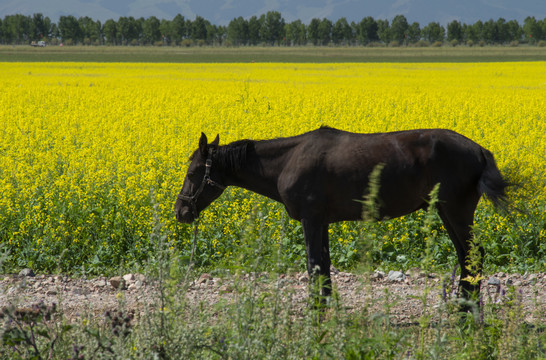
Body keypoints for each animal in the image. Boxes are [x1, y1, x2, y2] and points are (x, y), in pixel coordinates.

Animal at [174, 126, 506, 306]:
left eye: (192, 173)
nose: (181, 211)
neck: (288, 160)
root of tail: (479, 150)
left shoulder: (310, 220)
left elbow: (313, 264)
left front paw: (316, 308)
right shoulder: (321, 222)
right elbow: (324, 265)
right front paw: (325, 304)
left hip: (455, 211)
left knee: (473, 255)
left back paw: (466, 308)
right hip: (447, 213)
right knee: (467, 256)